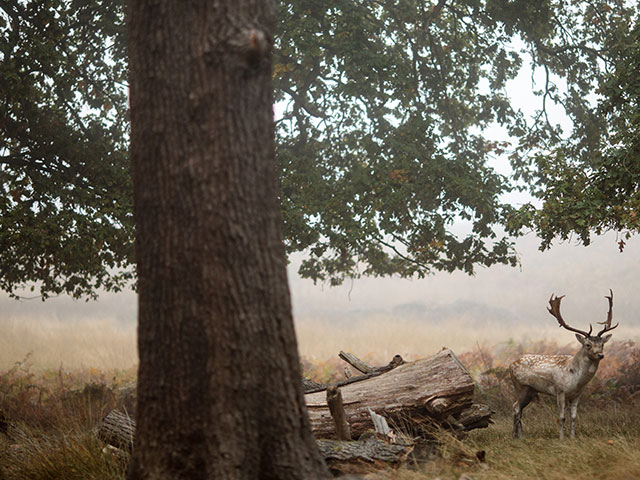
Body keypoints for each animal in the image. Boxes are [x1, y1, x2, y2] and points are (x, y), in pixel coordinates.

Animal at [508, 288, 616, 438]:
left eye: (602, 344)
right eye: (588, 345)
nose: (600, 355)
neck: (576, 380)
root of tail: (510, 364)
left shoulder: (577, 395)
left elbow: (574, 417)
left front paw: (572, 437)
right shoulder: (560, 391)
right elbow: (562, 417)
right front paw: (561, 438)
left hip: (530, 390)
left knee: (517, 408)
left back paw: (518, 436)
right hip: (520, 386)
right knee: (516, 408)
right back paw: (517, 436)